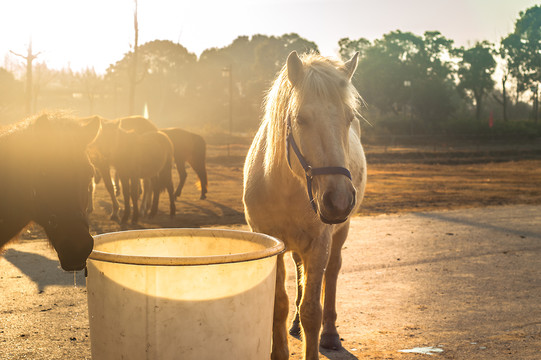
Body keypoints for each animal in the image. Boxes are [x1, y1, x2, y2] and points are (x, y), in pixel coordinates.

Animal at [244, 51, 368, 360]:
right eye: (300, 119)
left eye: (350, 117)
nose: (339, 200)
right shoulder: (272, 244)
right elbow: (279, 303)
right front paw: (279, 350)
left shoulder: (319, 242)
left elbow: (313, 309)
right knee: (300, 270)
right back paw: (295, 325)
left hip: (340, 232)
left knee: (332, 272)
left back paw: (330, 334)